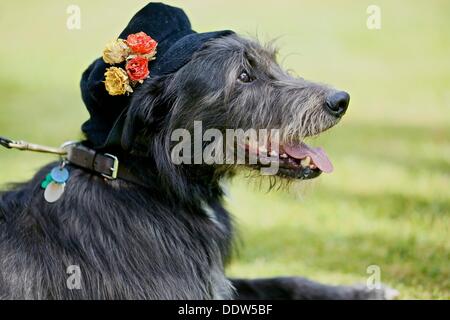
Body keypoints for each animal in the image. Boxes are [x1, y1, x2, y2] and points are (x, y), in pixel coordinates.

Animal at [0, 4, 396, 300]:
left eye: (272, 62)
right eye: (244, 76)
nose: (340, 100)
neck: (147, 182)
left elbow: (282, 281)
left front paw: (362, 291)